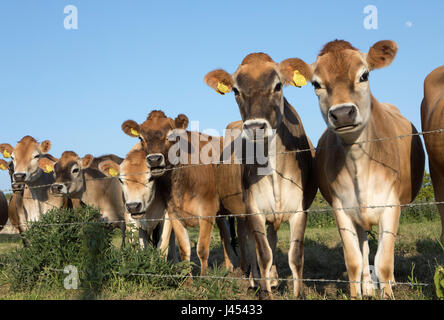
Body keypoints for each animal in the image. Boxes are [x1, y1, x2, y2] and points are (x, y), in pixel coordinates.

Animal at [205, 52, 320, 298]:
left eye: (278, 85)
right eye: (236, 90)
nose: (255, 127)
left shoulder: (299, 210)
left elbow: (295, 256)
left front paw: (295, 292)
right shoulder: (254, 209)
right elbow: (263, 253)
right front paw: (264, 290)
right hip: (233, 210)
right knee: (245, 242)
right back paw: (253, 280)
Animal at [294, 39, 424, 298]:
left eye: (364, 75)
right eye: (316, 84)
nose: (342, 113)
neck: (359, 166)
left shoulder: (391, 206)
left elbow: (384, 261)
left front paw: (388, 293)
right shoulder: (341, 208)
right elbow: (354, 260)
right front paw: (357, 293)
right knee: (364, 249)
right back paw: (368, 287)